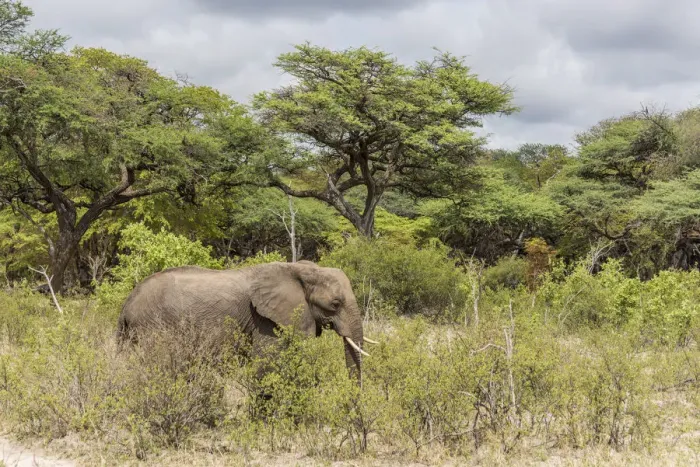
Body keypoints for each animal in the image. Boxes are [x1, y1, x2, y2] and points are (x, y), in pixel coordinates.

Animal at [115, 260, 375, 384]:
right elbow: (266, 365)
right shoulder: (264, 320)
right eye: (335, 304)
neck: (297, 269)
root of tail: (127, 302)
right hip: (152, 325)